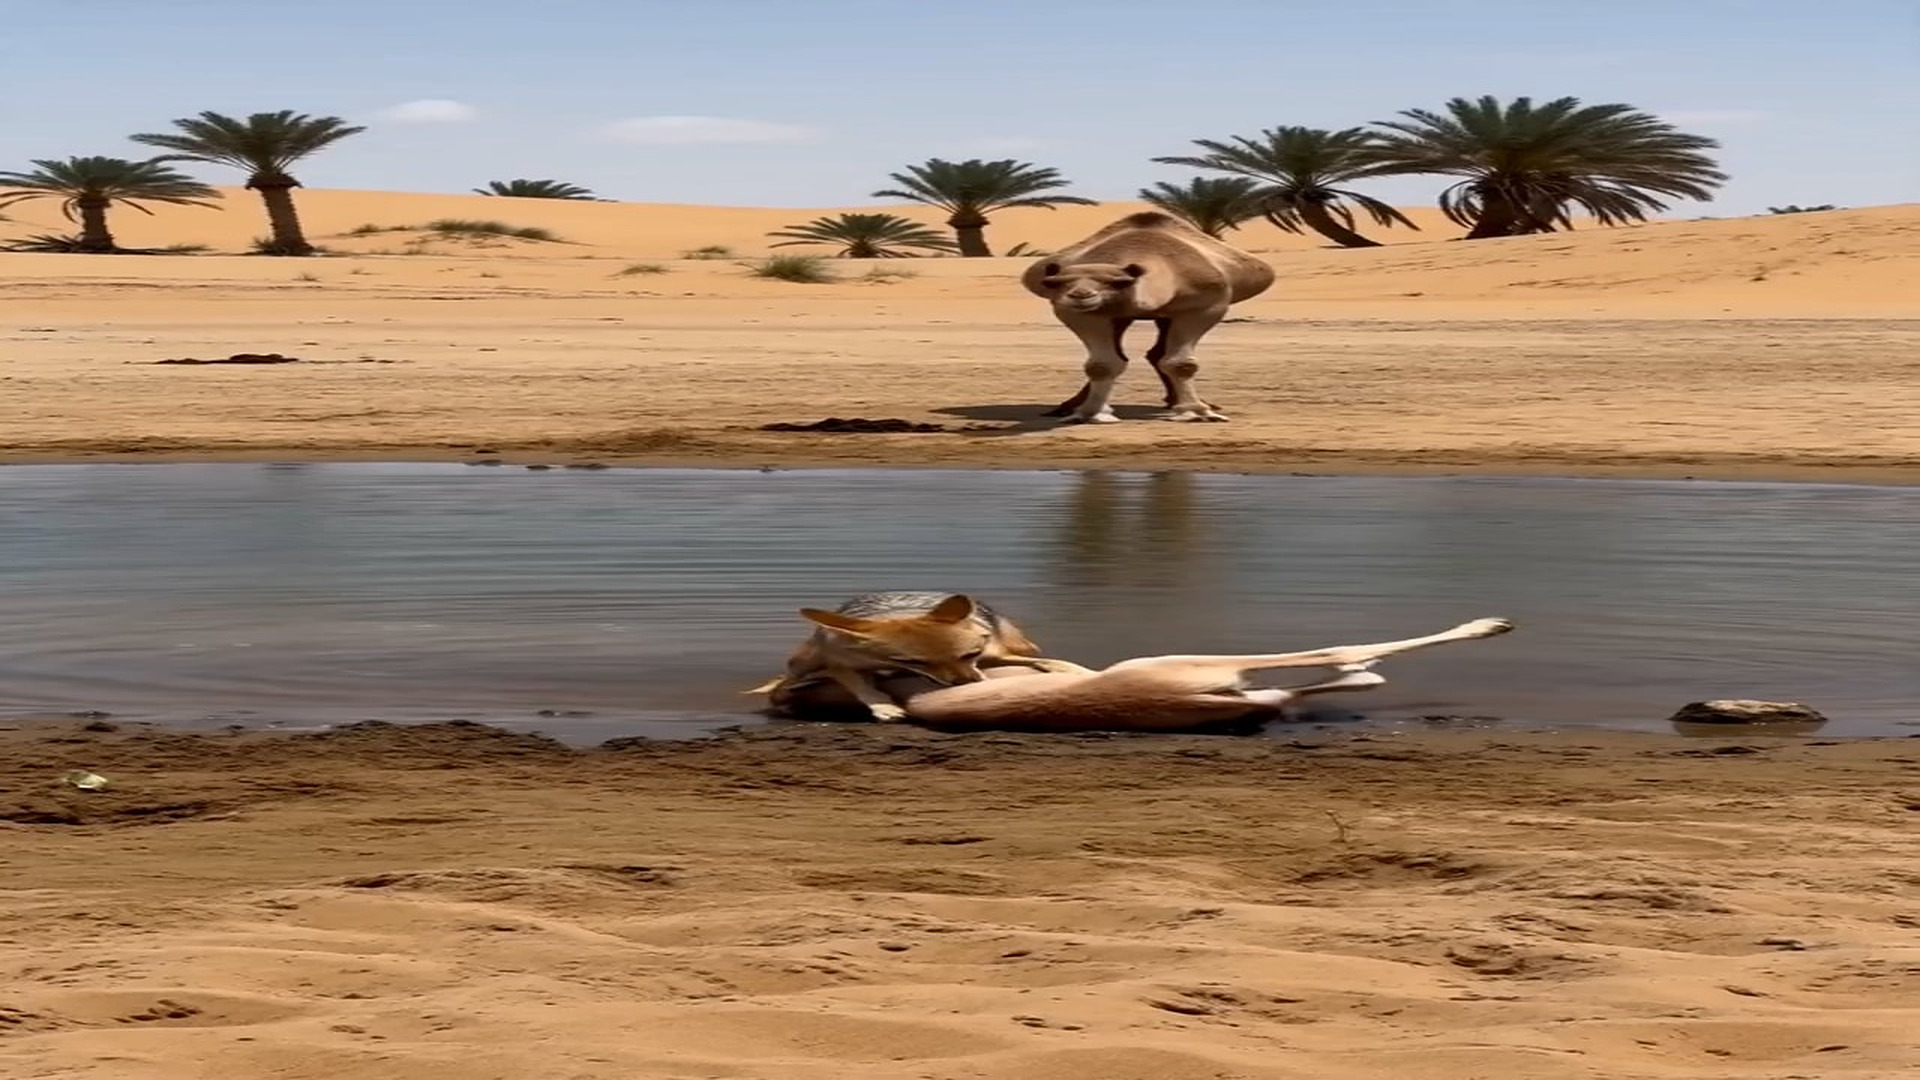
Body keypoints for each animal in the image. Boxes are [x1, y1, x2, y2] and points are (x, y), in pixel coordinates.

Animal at [1020, 211, 1275, 424]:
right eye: (1055, 284)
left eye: (1117, 283)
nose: (1080, 295)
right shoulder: (1077, 312)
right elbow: (1101, 365)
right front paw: (1090, 413)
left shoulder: (1206, 305)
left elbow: (1182, 364)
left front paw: (1197, 412)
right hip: (1120, 315)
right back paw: (1067, 406)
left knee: (1158, 352)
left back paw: (1183, 402)